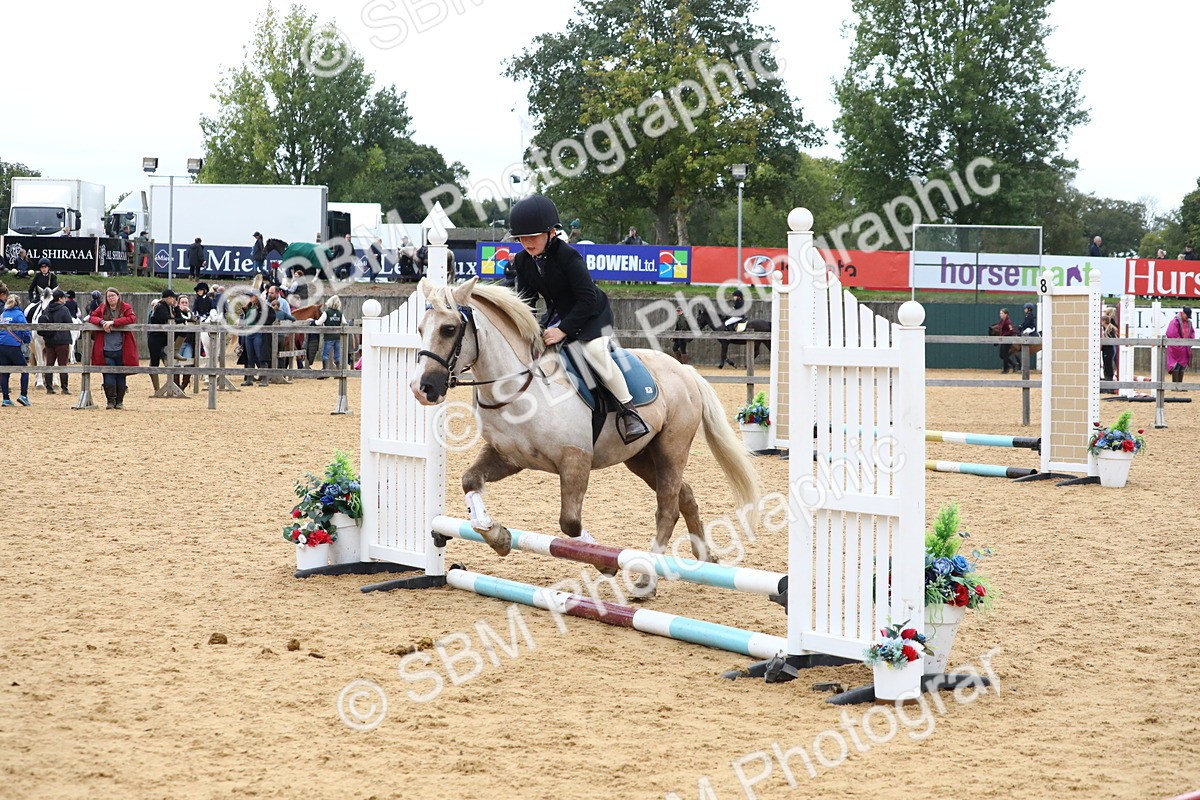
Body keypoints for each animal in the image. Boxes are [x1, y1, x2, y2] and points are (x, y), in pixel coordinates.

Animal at [410, 277, 762, 595]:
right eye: (420, 329)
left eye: (449, 329)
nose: (422, 388)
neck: (521, 388)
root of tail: (684, 370)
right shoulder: (508, 457)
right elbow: (470, 482)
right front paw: (498, 536)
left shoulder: (575, 459)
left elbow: (569, 523)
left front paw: (604, 562)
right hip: (641, 457)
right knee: (684, 496)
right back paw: (704, 558)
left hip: (671, 450)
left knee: (667, 509)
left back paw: (647, 578)